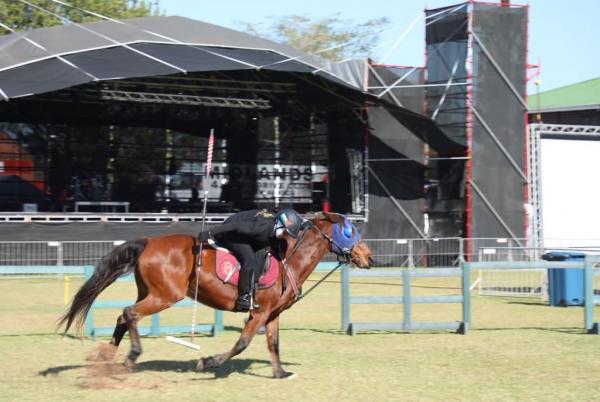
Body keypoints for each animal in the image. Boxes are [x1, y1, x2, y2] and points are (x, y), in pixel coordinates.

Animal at [59, 212, 370, 378]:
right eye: (349, 231)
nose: (369, 257)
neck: (289, 260)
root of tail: (149, 242)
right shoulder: (258, 313)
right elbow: (243, 343)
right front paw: (208, 362)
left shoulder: (273, 314)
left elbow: (273, 344)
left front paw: (281, 373)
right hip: (165, 296)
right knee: (129, 313)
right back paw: (131, 355)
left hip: (151, 292)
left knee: (123, 317)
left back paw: (107, 358)